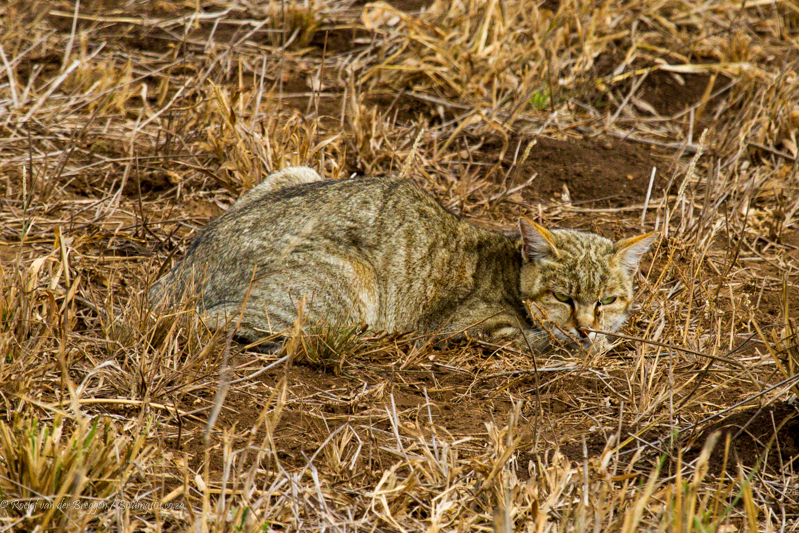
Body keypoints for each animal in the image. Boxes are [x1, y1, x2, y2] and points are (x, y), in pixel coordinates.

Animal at [148, 167, 656, 350]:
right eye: (563, 297)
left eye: (608, 299)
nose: (586, 325)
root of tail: (180, 272)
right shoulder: (475, 328)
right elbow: (546, 341)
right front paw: (585, 344)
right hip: (348, 287)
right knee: (208, 321)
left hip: (295, 173)